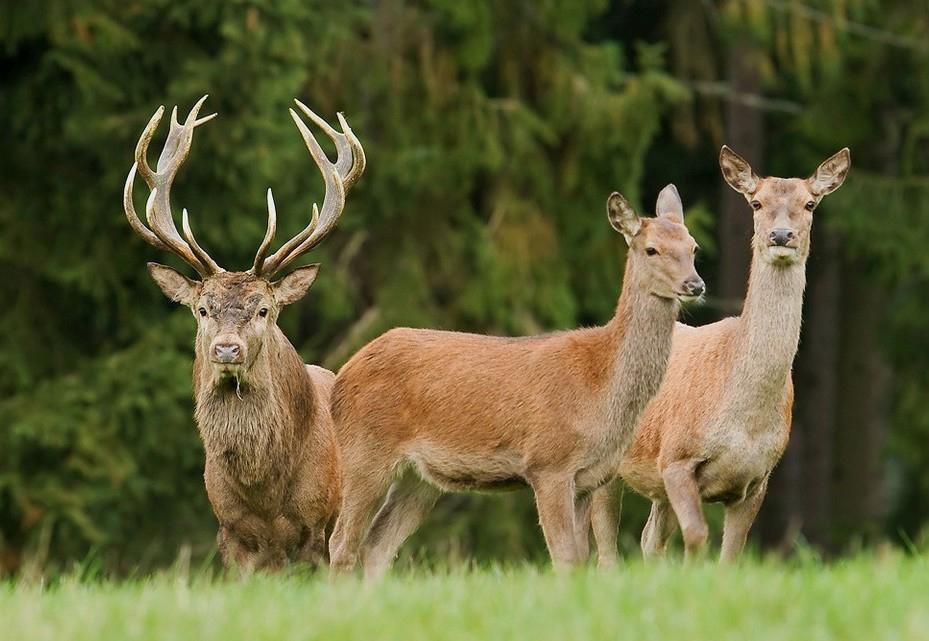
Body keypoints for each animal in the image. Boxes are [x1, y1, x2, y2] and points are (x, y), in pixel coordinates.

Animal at [125, 96, 364, 568]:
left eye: (263, 309)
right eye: (202, 309)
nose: (226, 349)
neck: (265, 494)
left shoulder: (316, 530)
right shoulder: (229, 532)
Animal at [328, 181, 704, 576]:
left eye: (693, 247)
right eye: (651, 249)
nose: (695, 284)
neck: (599, 385)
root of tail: (345, 372)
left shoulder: (588, 479)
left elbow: (580, 559)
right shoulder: (548, 464)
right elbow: (564, 557)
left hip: (421, 478)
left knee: (378, 545)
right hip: (364, 451)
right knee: (341, 543)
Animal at [588, 145, 848, 560]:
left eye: (810, 203)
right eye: (756, 202)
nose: (781, 234)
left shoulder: (757, 477)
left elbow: (731, 554)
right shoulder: (676, 455)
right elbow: (696, 536)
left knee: (649, 538)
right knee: (606, 542)